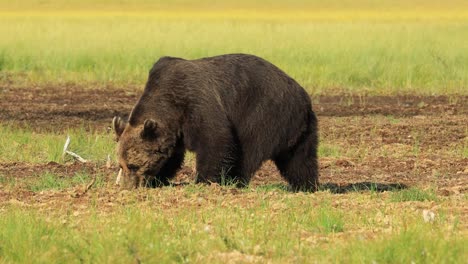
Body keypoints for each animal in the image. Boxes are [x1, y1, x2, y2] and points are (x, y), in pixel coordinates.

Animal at [112, 52, 318, 191]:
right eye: (121, 164)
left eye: (133, 165)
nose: (127, 186)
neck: (169, 104)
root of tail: (303, 96)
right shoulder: (174, 129)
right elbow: (171, 156)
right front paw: (159, 178)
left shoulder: (198, 103)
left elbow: (215, 140)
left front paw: (203, 180)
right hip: (300, 129)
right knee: (299, 159)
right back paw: (306, 185)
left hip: (265, 115)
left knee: (249, 152)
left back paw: (236, 180)